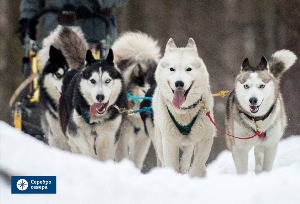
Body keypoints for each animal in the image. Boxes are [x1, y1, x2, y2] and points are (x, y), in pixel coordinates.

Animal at [152, 38, 216, 177]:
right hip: (160, 140)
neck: (183, 112)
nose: (179, 83)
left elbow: (197, 166)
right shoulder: (169, 142)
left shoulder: (205, 139)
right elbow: (172, 165)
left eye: (188, 69)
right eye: (172, 69)